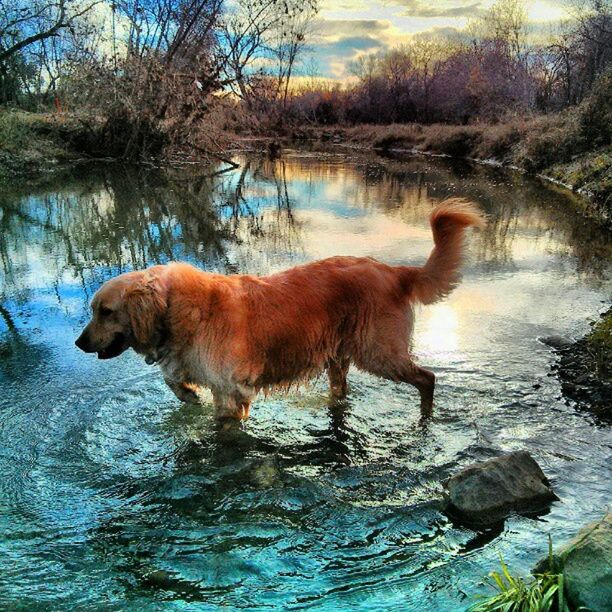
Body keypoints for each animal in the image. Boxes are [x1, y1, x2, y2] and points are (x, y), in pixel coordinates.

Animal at [75, 201, 482, 420]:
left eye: (105, 311)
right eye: (94, 310)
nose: (79, 344)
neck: (179, 311)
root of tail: (394, 270)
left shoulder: (232, 390)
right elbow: (173, 381)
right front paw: (188, 394)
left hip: (378, 351)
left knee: (427, 377)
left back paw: (426, 415)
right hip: (340, 357)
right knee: (344, 391)